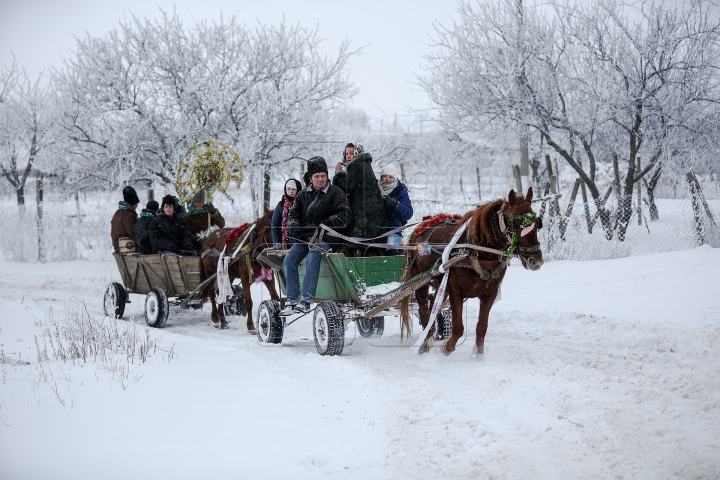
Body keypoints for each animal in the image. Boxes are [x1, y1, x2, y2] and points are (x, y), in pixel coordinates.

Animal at [396, 188, 544, 356]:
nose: (535, 260)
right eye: (517, 223)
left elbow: (482, 327)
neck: (477, 252)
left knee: (433, 307)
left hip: (441, 285)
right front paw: (447, 348)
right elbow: (458, 328)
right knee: (424, 311)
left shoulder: (490, 293)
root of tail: (419, 228)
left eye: (537, 223)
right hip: (420, 281)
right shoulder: (456, 291)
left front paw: (478, 355)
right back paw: (425, 344)